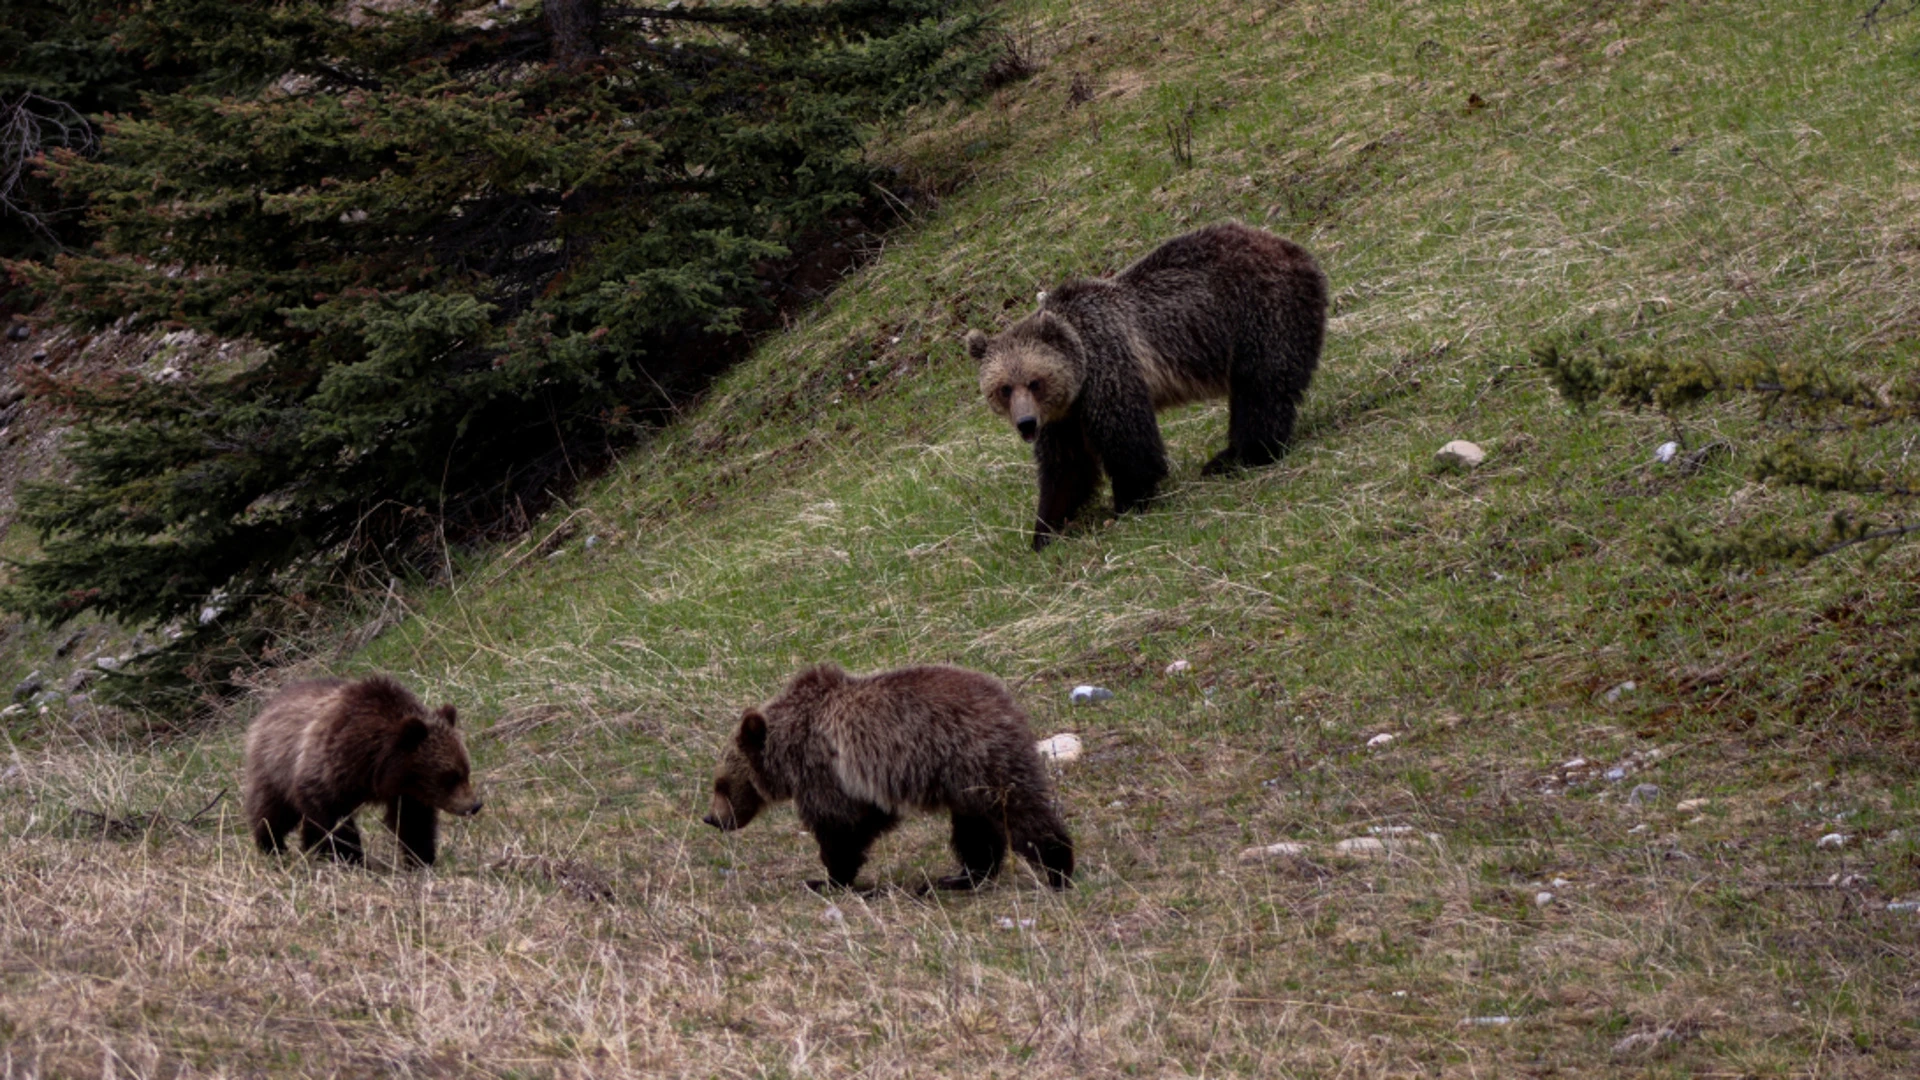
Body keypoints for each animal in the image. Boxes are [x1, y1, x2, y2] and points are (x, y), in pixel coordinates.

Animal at [243, 676, 483, 860]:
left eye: (466, 770)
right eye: (450, 776)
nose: (474, 805)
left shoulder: (406, 791)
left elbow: (414, 821)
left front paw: (421, 858)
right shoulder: (325, 770)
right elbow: (333, 818)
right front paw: (350, 855)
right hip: (274, 768)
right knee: (273, 811)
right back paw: (272, 847)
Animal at [702, 661, 1075, 887]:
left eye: (721, 784)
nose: (711, 818)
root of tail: (1009, 704)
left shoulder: (824, 771)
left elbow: (839, 827)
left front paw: (828, 878)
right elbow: (867, 819)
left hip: (976, 759)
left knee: (1019, 812)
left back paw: (1058, 866)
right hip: (963, 782)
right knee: (975, 827)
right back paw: (962, 877)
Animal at [967, 223, 1328, 549]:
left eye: (1034, 382)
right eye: (1004, 388)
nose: (1026, 423)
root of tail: (1294, 248)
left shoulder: (1109, 370)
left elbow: (1130, 445)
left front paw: (1128, 503)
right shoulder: (1062, 417)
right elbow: (1067, 468)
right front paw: (1044, 531)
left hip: (1257, 311)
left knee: (1261, 389)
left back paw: (1239, 457)